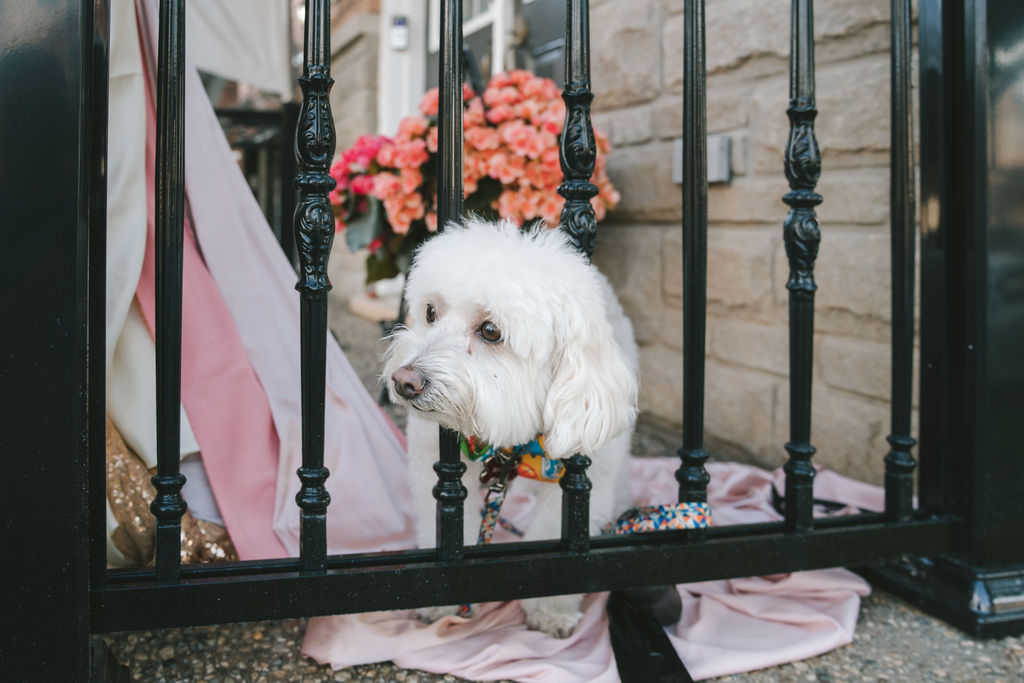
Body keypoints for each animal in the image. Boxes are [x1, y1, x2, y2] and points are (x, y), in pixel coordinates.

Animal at [383, 217, 638, 637]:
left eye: (491, 331)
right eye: (430, 311)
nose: (405, 381)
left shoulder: (587, 470)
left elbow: (554, 532)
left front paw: (550, 609)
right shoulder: (432, 465)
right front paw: (444, 599)